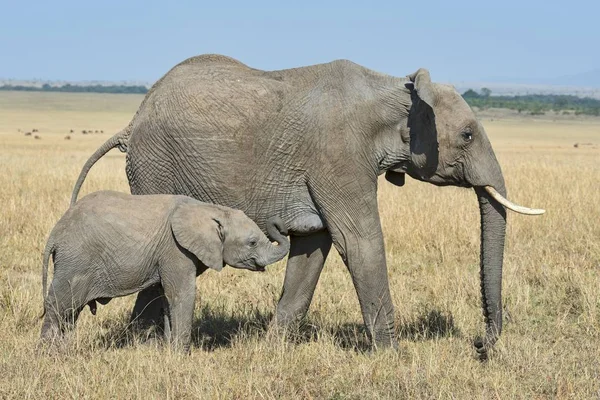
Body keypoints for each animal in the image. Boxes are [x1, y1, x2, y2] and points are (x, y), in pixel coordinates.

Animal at [39, 192, 288, 352]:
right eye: (252, 243)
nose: (279, 222)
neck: (209, 208)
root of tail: (55, 233)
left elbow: (167, 298)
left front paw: (168, 351)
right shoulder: (175, 249)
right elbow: (182, 294)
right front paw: (181, 355)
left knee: (71, 310)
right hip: (76, 260)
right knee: (60, 304)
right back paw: (49, 354)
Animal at [70, 54, 544, 356]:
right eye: (467, 135)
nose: (480, 345)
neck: (394, 89)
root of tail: (132, 121)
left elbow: (315, 245)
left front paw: (272, 350)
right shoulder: (337, 154)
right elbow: (359, 242)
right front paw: (395, 357)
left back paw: (141, 344)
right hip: (155, 168)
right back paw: (142, 345)